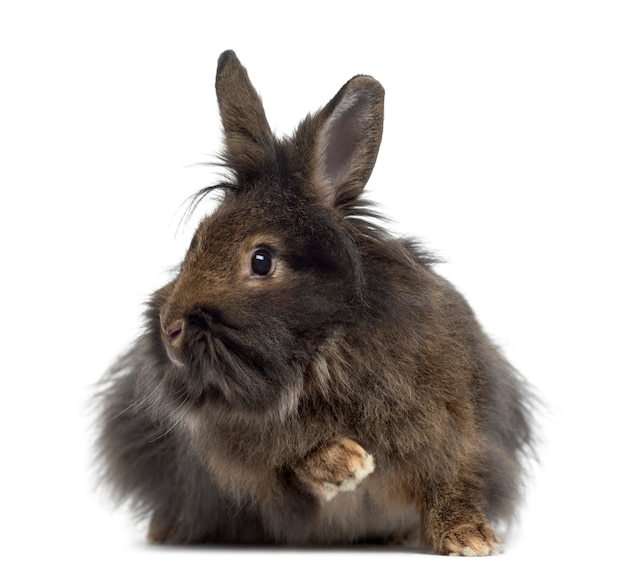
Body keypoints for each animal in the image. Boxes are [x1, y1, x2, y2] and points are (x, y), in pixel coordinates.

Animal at [96, 52, 532, 556]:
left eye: (261, 260)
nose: (169, 330)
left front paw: (470, 538)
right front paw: (345, 463)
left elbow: (450, 477)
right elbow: (288, 457)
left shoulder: (452, 420)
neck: (322, 349)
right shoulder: (247, 453)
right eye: (195, 242)